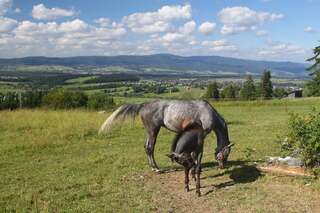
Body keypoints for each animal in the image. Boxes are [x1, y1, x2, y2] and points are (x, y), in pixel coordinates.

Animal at [99, 99, 231, 171]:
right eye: (226, 154)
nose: (222, 166)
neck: (208, 112)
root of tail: (143, 105)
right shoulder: (203, 133)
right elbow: (196, 152)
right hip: (153, 130)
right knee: (150, 148)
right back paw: (156, 169)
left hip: (150, 132)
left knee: (147, 148)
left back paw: (153, 166)